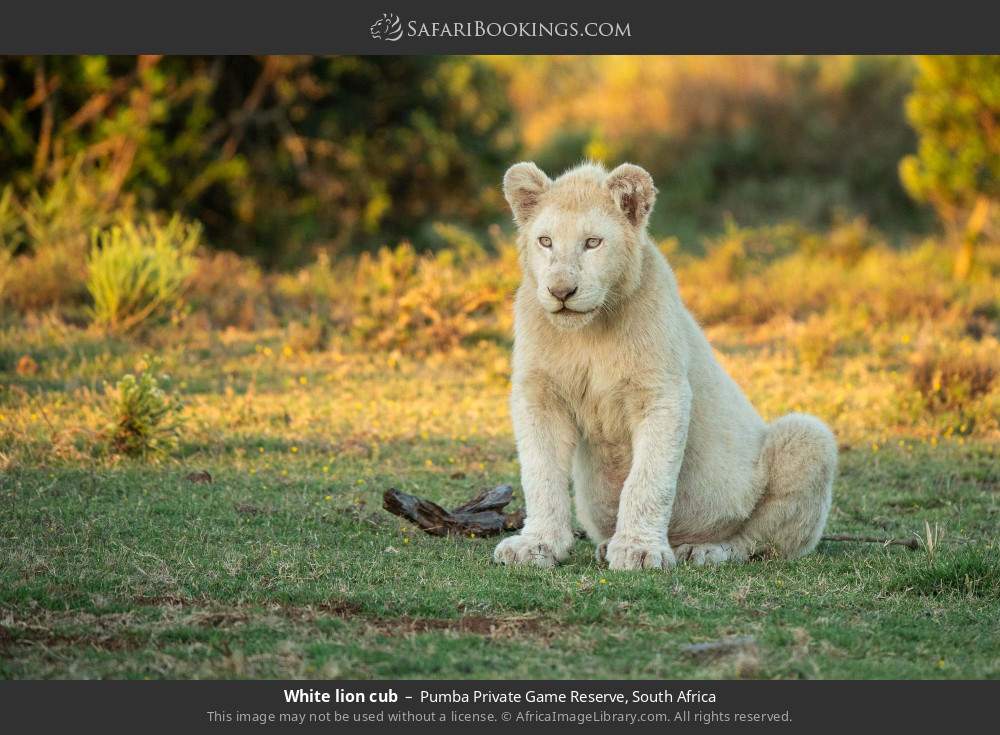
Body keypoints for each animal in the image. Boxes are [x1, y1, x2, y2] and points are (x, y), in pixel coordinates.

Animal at [493, 161, 837, 570]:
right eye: (545, 241)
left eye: (592, 242)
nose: (561, 292)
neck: (589, 331)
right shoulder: (539, 393)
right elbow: (540, 473)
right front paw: (535, 547)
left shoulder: (662, 391)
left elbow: (648, 478)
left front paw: (639, 551)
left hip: (808, 437)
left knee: (758, 541)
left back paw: (703, 549)